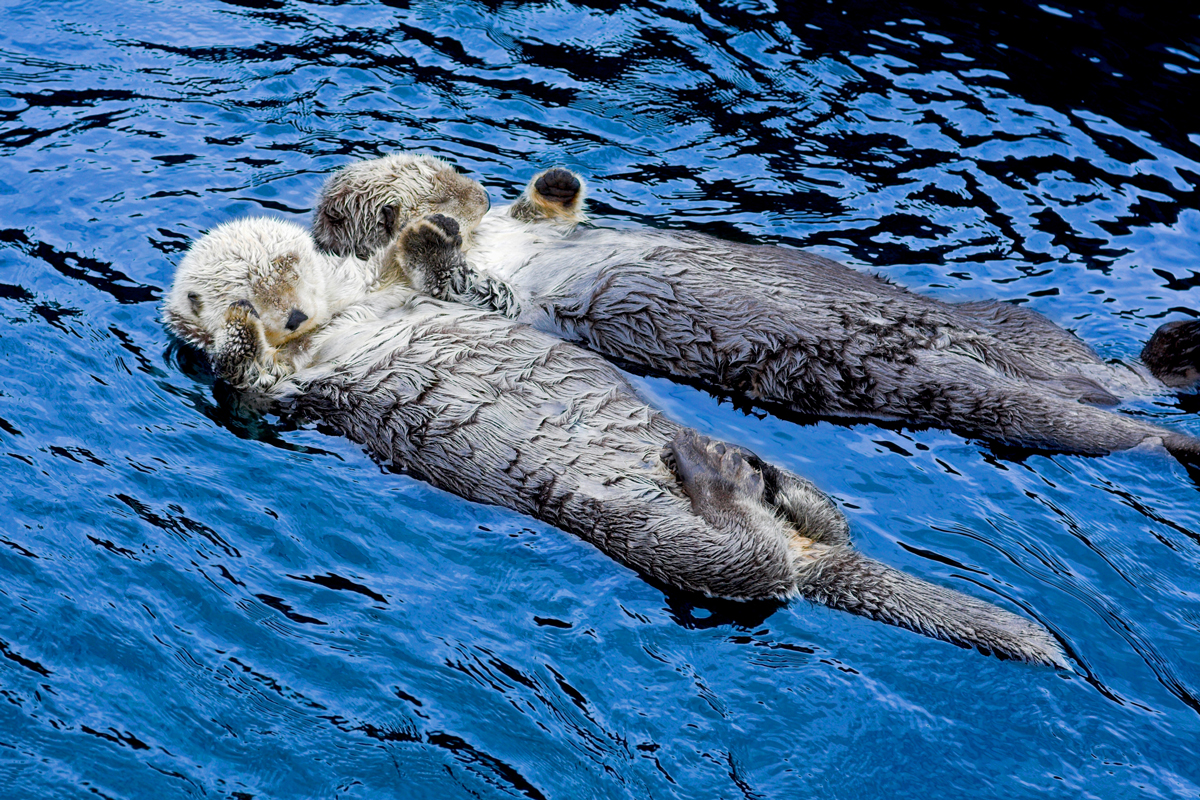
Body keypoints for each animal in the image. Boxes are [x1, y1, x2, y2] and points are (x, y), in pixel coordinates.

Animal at [164, 212, 1066, 666]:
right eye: (250, 288)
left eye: (292, 270)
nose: (285, 313)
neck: (339, 316)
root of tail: (810, 557)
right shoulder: (276, 391)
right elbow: (242, 382)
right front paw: (236, 329)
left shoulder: (399, 293)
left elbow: (429, 276)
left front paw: (426, 231)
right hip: (663, 543)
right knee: (753, 569)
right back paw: (713, 470)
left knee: (818, 527)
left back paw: (758, 473)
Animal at [311, 158, 1200, 462]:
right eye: (436, 184)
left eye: (453, 169)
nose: (471, 194)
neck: (496, 240)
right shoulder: (488, 298)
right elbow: (463, 281)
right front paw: (430, 235)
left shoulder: (531, 231)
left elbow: (550, 211)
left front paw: (554, 181)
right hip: (954, 389)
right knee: (1091, 424)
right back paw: (1178, 437)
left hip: (1017, 329)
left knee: (1108, 375)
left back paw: (1176, 354)